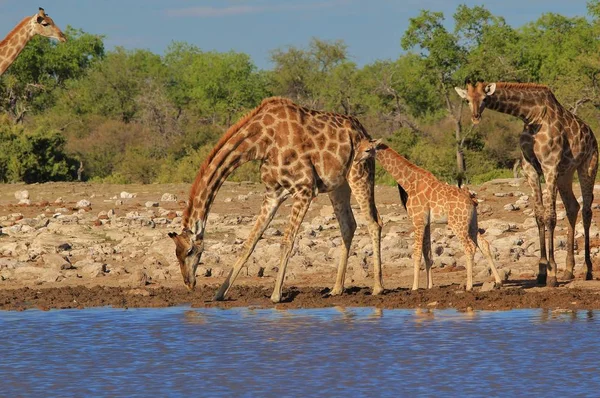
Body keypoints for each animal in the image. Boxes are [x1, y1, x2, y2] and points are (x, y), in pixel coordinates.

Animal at [168, 96, 384, 302]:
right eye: (176, 253)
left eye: (190, 251)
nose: (189, 283)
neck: (261, 141)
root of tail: (363, 130)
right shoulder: (273, 193)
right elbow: (249, 243)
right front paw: (219, 294)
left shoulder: (304, 189)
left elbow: (287, 241)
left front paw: (276, 295)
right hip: (338, 185)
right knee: (348, 225)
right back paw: (337, 289)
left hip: (360, 174)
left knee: (374, 222)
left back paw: (377, 288)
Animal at [354, 138, 504, 290]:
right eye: (357, 147)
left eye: (367, 150)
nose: (355, 159)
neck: (409, 183)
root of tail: (472, 200)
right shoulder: (426, 223)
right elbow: (427, 253)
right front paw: (429, 286)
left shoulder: (418, 220)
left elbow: (416, 253)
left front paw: (414, 287)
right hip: (472, 223)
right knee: (484, 244)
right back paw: (498, 281)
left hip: (457, 224)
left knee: (470, 247)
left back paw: (469, 286)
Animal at [454, 81, 600, 286]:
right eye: (467, 100)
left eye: (484, 98)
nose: (475, 117)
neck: (531, 116)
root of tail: (592, 135)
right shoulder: (530, 169)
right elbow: (539, 216)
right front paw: (542, 271)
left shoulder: (550, 166)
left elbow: (551, 217)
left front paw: (552, 273)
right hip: (566, 172)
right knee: (573, 207)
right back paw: (568, 271)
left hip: (588, 165)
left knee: (586, 210)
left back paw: (587, 270)